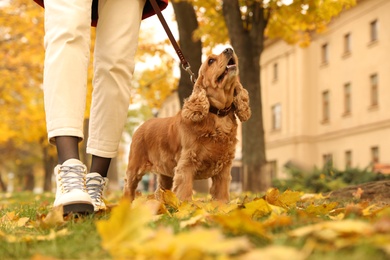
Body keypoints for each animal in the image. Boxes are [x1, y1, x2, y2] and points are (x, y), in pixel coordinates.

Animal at [123, 48, 251, 202]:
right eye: (210, 61)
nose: (229, 49)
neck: (218, 115)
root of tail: (141, 126)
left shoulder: (224, 168)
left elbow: (222, 195)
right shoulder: (186, 163)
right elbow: (184, 192)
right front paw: (186, 206)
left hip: (165, 174)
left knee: (160, 191)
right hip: (134, 167)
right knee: (128, 188)